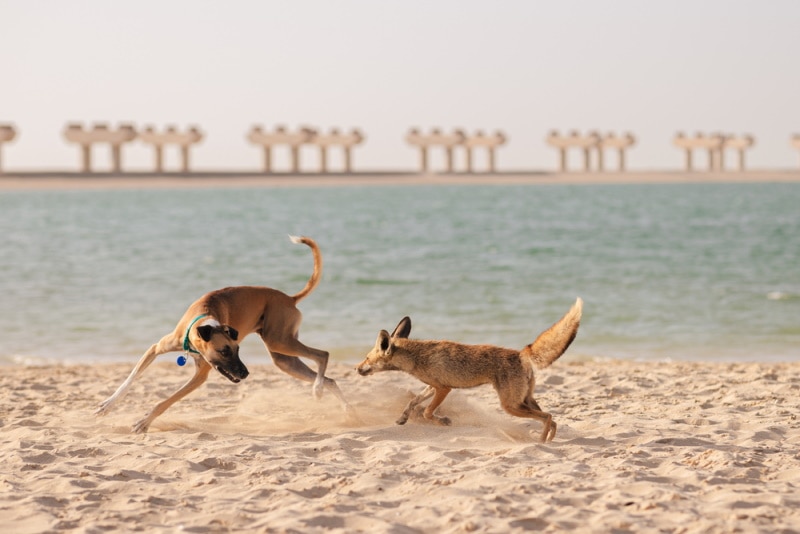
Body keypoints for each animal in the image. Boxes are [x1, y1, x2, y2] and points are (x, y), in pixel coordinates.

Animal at [94, 237, 350, 434]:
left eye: (238, 349)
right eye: (224, 351)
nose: (245, 374)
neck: (202, 324)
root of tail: (290, 298)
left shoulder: (200, 376)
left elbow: (166, 401)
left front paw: (144, 422)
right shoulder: (156, 348)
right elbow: (129, 380)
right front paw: (107, 405)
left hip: (280, 342)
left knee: (322, 354)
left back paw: (318, 389)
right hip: (283, 358)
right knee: (331, 379)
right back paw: (346, 408)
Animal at [356, 300, 580, 442]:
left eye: (366, 357)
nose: (356, 368)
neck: (418, 357)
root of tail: (521, 353)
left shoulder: (444, 389)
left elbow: (427, 412)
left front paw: (444, 421)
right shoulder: (433, 386)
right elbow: (413, 401)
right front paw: (402, 419)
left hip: (511, 406)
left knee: (547, 416)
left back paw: (540, 442)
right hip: (524, 401)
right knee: (552, 418)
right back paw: (549, 439)